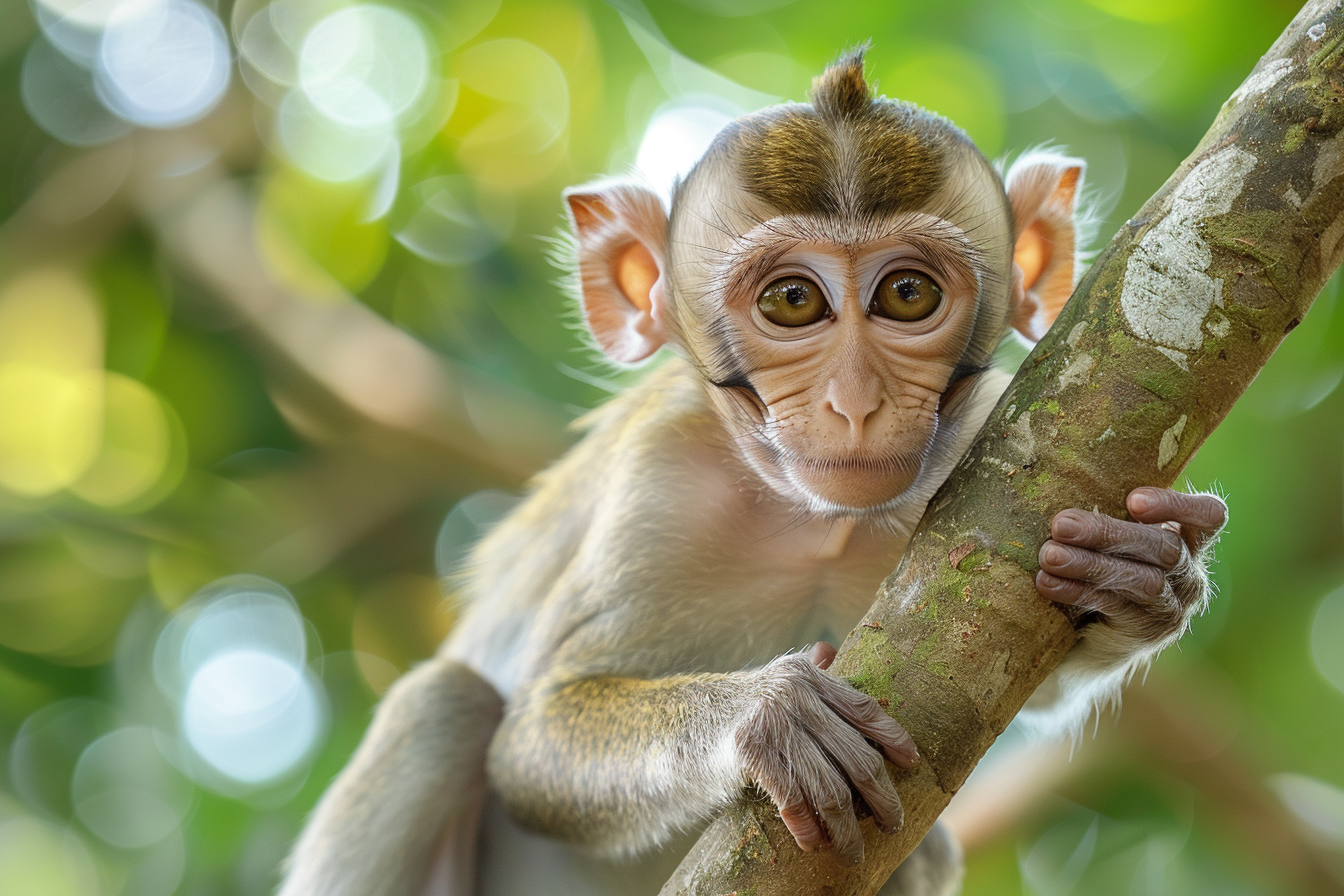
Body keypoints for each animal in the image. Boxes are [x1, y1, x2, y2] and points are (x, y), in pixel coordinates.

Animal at [278, 51, 1227, 896]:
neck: (810, 522)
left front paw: (1140, 574)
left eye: (908, 294)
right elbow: (531, 747)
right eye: (793, 301)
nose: (854, 402)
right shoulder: (657, 478)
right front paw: (764, 715)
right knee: (442, 706)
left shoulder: (994, 431)